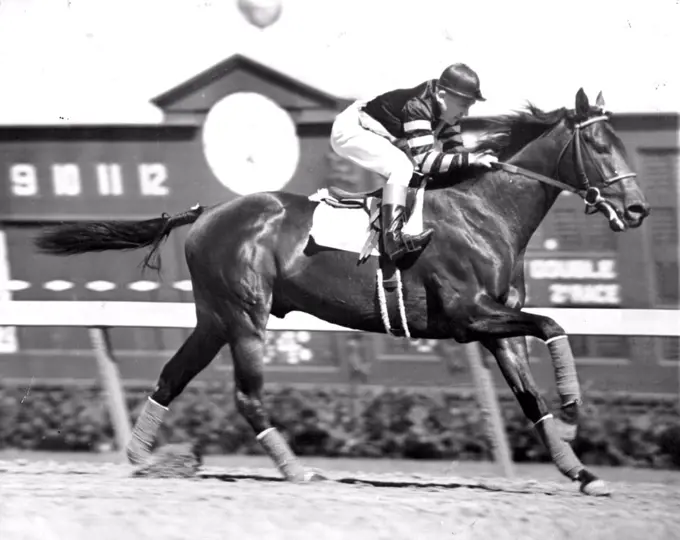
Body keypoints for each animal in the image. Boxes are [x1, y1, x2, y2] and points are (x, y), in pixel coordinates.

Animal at [35, 87, 648, 494]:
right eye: (599, 144)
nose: (638, 209)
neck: (482, 210)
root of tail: (208, 212)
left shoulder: (496, 325)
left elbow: (530, 395)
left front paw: (581, 470)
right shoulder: (468, 317)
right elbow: (554, 324)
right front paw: (574, 410)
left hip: (213, 318)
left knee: (171, 377)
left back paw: (139, 456)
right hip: (246, 316)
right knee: (246, 396)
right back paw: (295, 468)